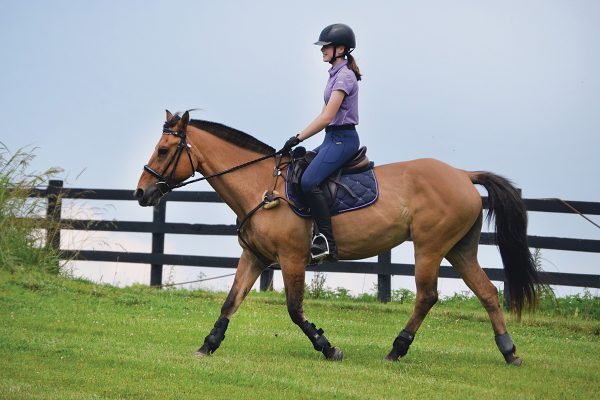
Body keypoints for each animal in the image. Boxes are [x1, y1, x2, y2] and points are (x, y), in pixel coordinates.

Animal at [135, 109, 540, 366]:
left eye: (164, 150)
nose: (141, 193)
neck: (261, 187)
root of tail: (461, 174)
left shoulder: (291, 259)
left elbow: (295, 310)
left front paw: (328, 348)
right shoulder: (255, 257)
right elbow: (230, 303)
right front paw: (208, 346)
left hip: (430, 247)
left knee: (427, 296)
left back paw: (397, 349)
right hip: (460, 248)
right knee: (487, 292)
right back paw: (509, 352)